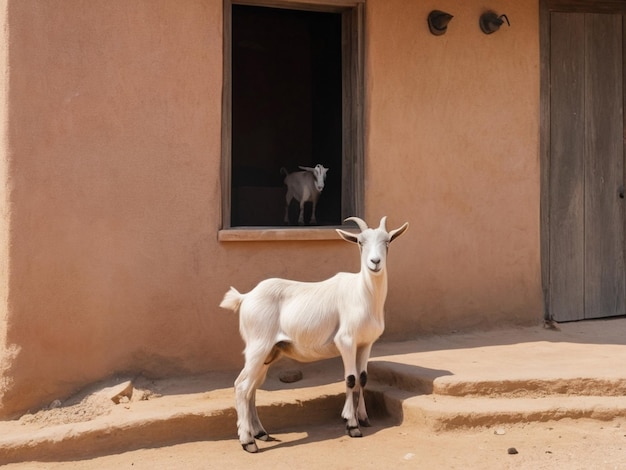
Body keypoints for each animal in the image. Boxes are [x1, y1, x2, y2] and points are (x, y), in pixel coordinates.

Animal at [219, 216, 410, 452]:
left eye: (388, 241)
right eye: (360, 242)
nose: (375, 262)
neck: (363, 294)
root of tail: (245, 297)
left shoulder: (366, 343)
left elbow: (363, 378)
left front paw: (364, 418)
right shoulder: (346, 341)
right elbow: (350, 379)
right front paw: (351, 425)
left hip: (269, 353)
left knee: (251, 388)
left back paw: (261, 433)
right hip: (258, 347)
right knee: (242, 386)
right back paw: (248, 442)